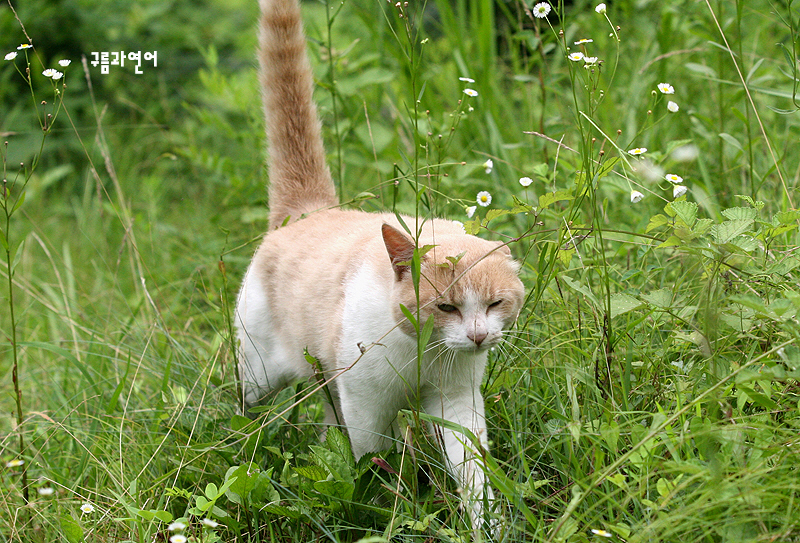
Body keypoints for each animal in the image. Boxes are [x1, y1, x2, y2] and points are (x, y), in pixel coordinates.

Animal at [234, 0, 528, 528]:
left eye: (495, 304)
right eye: (446, 308)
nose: (478, 337)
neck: (424, 355)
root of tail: (312, 210)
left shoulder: (457, 402)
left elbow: (473, 472)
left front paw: (486, 525)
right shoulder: (367, 407)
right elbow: (374, 461)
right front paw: (384, 509)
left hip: (324, 383)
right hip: (259, 377)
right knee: (246, 413)